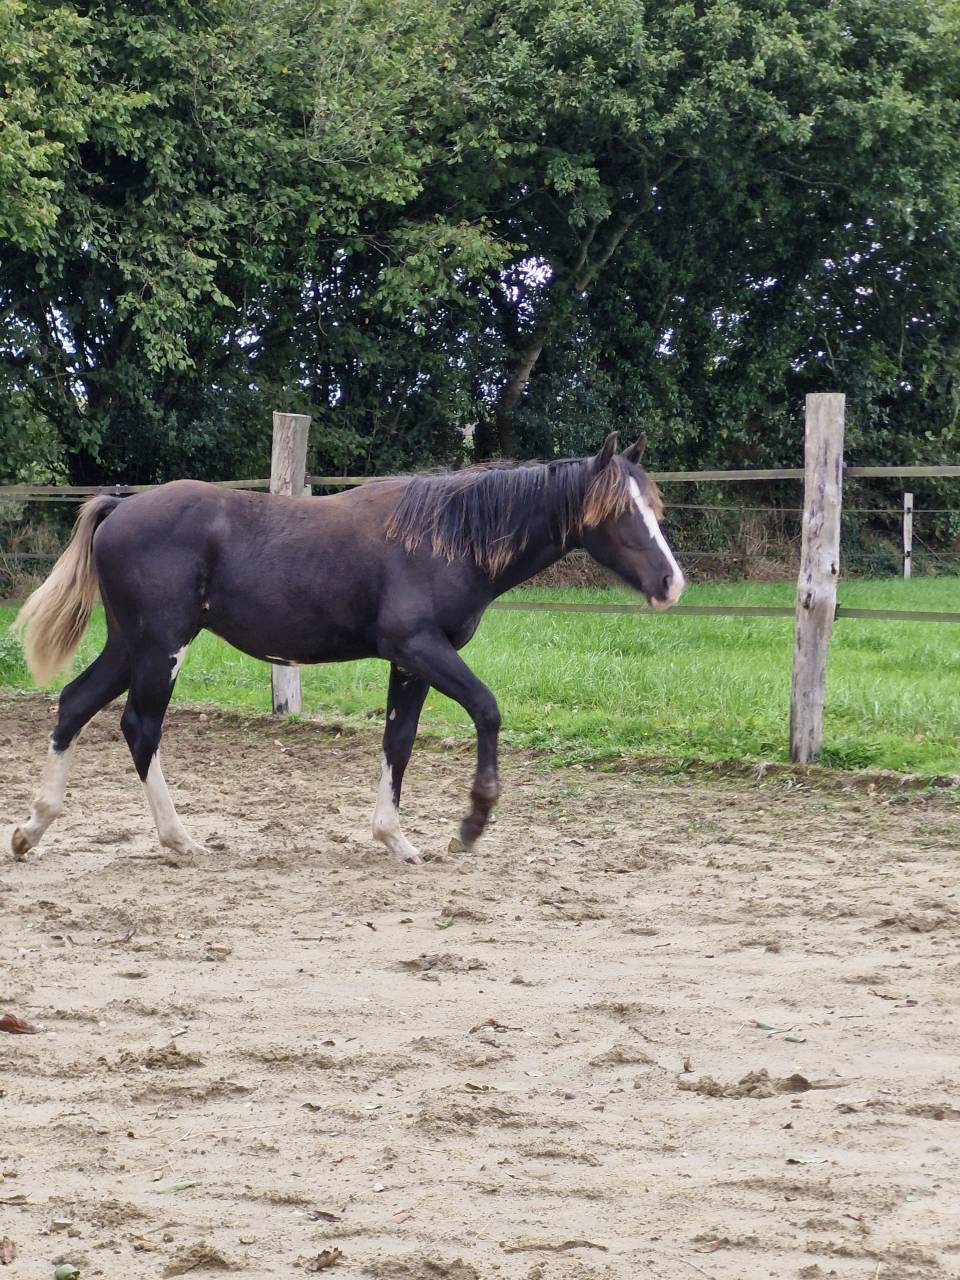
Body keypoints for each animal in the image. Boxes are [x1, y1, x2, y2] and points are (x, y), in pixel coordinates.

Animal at [10, 432, 683, 866]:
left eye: (653, 505)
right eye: (620, 510)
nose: (671, 583)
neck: (441, 539)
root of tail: (120, 507)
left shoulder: (409, 662)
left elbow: (398, 741)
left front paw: (396, 840)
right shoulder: (421, 647)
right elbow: (487, 710)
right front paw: (468, 828)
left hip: (131, 644)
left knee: (74, 705)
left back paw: (31, 830)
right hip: (161, 648)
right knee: (139, 726)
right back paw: (179, 841)